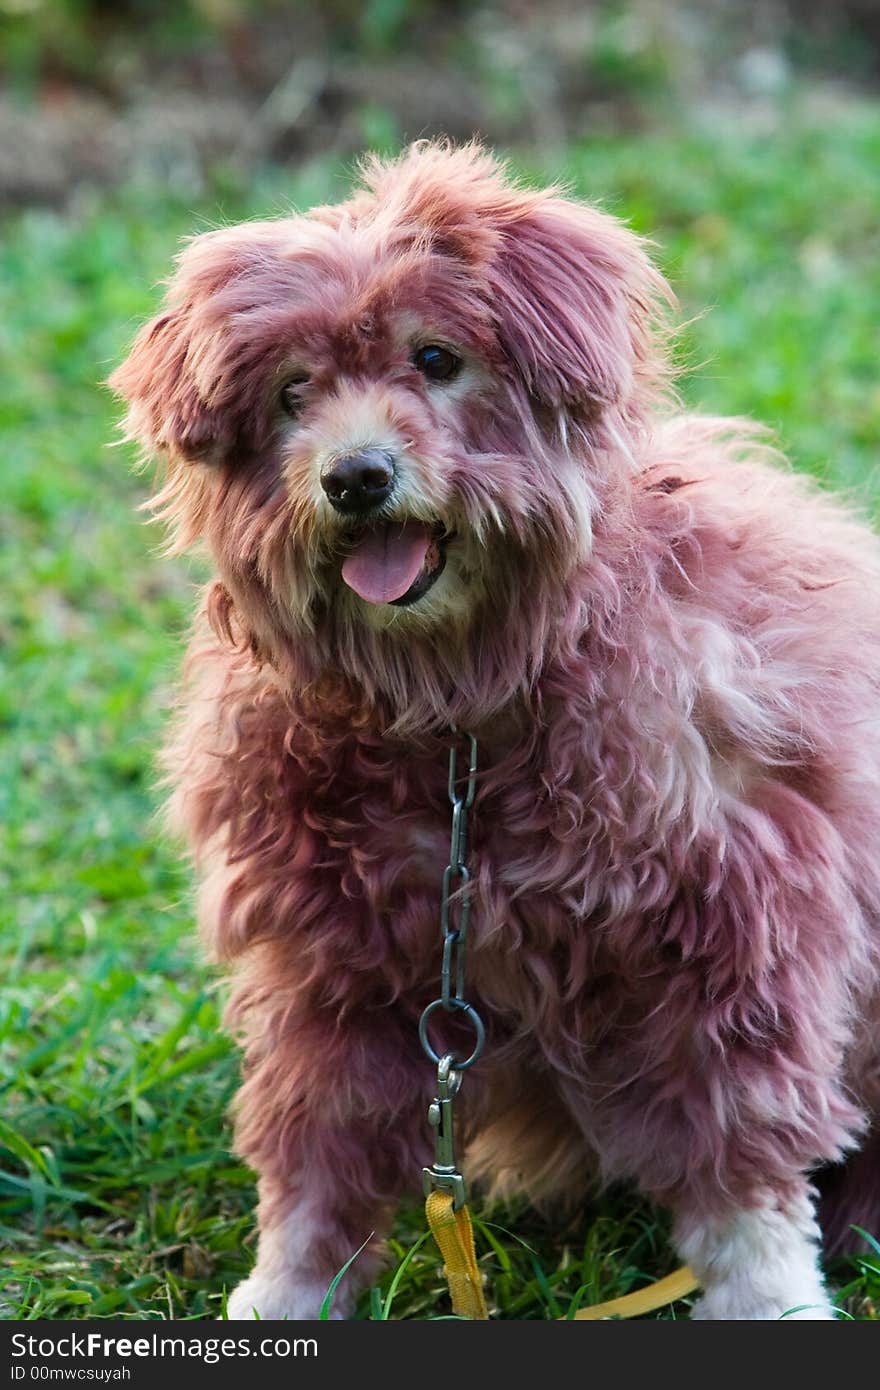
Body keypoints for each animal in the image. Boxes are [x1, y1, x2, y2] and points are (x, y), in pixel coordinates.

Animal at [109, 143, 878, 1323]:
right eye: (293, 393)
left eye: (436, 359)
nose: (355, 477)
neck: (456, 719)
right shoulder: (332, 963)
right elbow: (317, 1161)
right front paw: (288, 1295)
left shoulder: (733, 922)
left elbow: (740, 1160)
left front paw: (768, 1300)